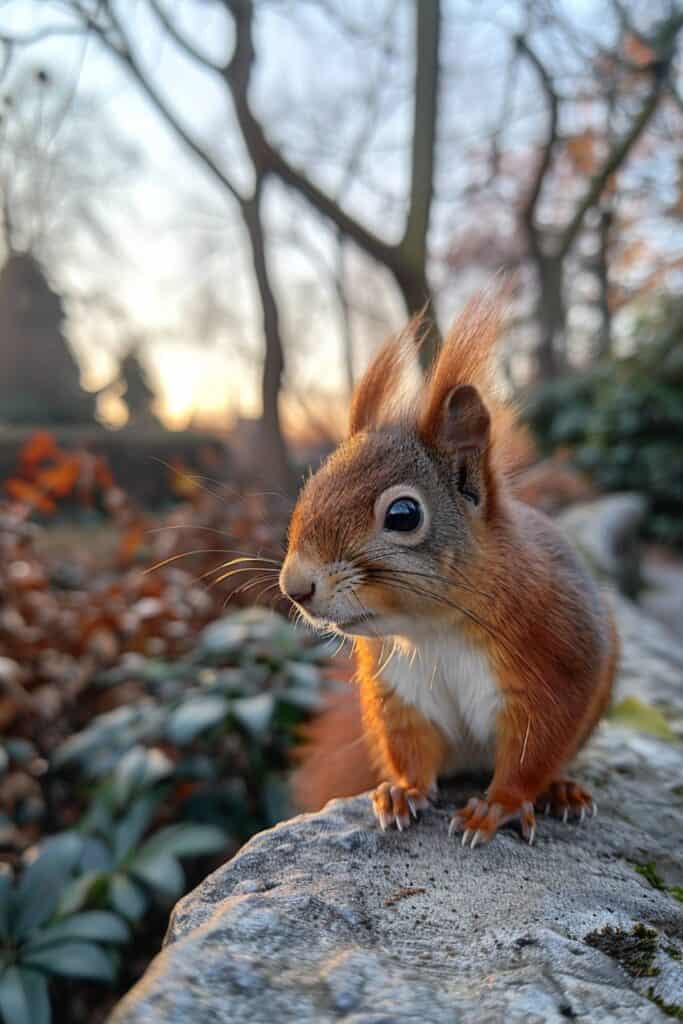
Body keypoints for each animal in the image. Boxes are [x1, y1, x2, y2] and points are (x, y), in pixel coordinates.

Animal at [278, 296, 618, 847]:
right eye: (311, 486)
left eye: (403, 514)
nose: (295, 588)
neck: (436, 630)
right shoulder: (399, 690)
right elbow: (411, 749)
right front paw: (403, 792)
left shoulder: (557, 671)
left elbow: (532, 753)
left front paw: (498, 806)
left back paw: (562, 790)